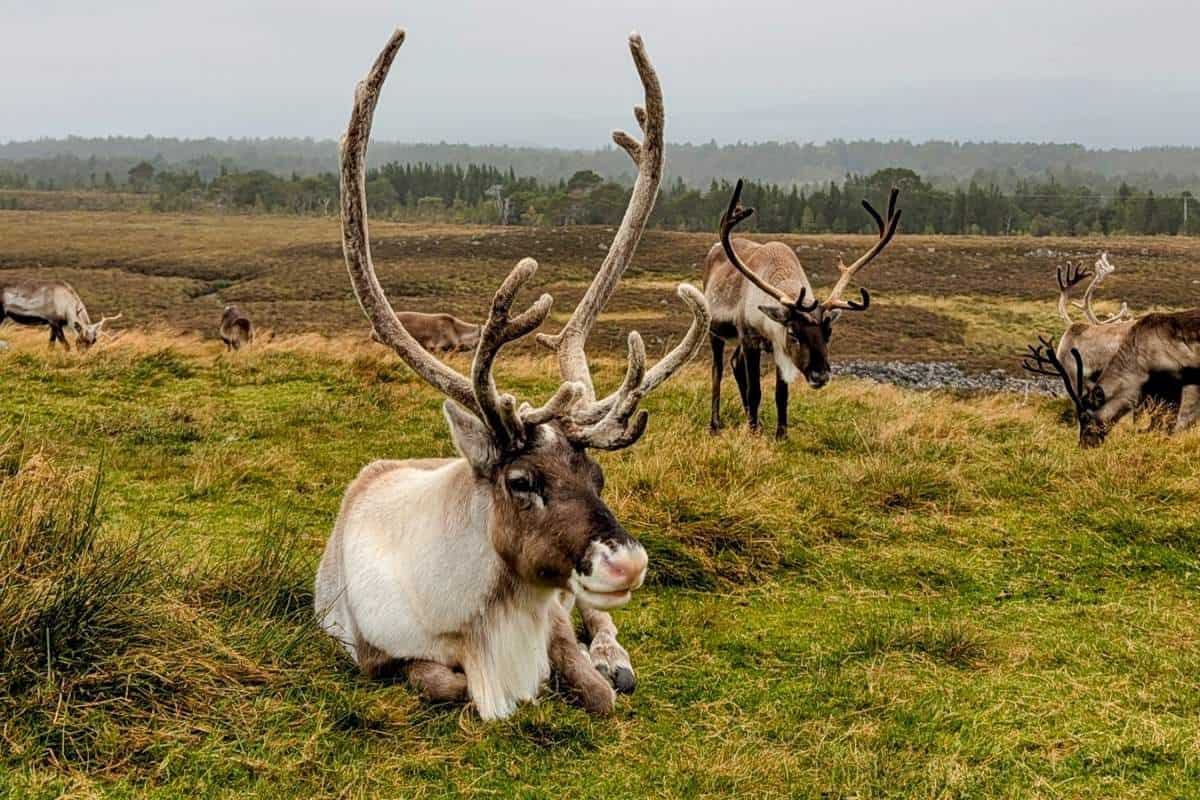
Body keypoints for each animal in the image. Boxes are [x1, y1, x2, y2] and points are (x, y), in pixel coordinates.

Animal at [315, 28, 710, 720]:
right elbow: (442, 682)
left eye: (598, 476)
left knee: (599, 622)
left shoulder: (553, 617)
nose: (628, 563)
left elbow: (595, 689)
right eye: (522, 481)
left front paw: (597, 672)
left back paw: (615, 655)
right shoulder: (372, 654)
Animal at [703, 179, 901, 438]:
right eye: (794, 333)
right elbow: (755, 390)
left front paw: (780, 434)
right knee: (717, 370)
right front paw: (754, 432)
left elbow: (781, 394)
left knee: (735, 363)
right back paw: (716, 424)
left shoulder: (777, 346)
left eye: (828, 333)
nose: (820, 375)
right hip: (714, 330)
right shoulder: (751, 338)